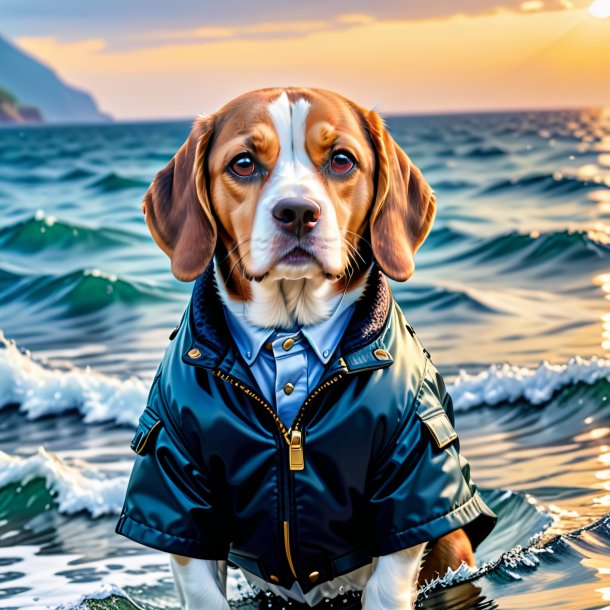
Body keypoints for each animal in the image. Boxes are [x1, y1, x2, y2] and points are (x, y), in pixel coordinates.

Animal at [115, 88, 494, 608]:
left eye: (341, 160)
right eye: (243, 163)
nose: (297, 211)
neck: (288, 329)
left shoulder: (414, 464)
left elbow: (388, 580)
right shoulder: (174, 475)